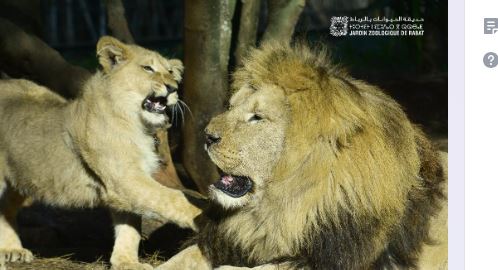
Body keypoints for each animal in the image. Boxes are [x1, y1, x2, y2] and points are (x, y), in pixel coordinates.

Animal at [0, 36, 202, 270]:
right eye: (147, 68)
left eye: (170, 72)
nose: (173, 87)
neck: (136, 123)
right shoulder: (125, 178)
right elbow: (172, 198)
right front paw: (204, 215)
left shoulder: (123, 186)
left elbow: (130, 227)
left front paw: (126, 262)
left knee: (5, 209)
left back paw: (12, 250)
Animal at [157, 43, 448, 268]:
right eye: (230, 107)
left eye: (257, 117)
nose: (207, 136)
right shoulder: (229, 240)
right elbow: (178, 260)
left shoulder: (327, 258)